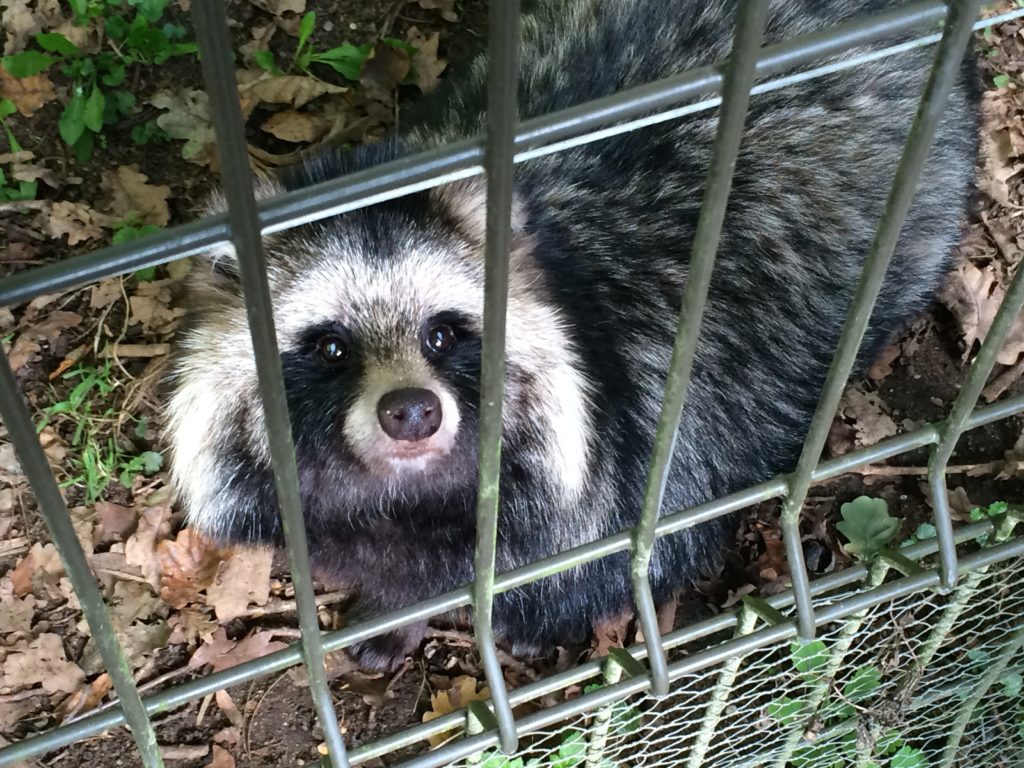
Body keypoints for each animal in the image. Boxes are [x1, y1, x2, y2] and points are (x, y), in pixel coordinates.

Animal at [165, 0, 974, 671]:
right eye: (331, 347)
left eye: (442, 334)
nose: (411, 411)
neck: (410, 498)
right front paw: (400, 611)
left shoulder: (663, 442)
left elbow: (606, 557)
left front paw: (531, 620)